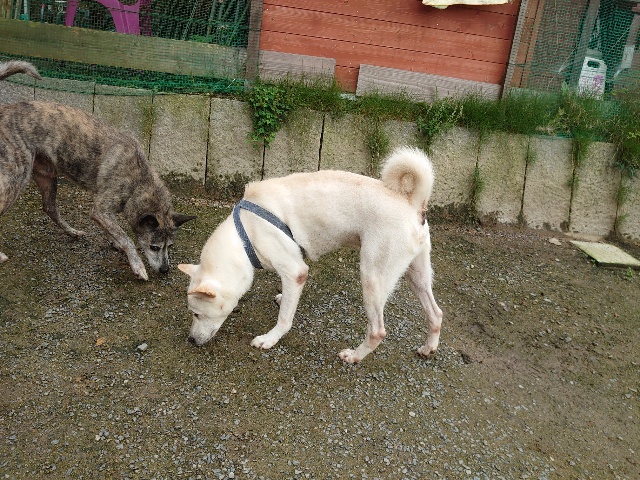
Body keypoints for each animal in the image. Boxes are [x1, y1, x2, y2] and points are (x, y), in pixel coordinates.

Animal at [0, 60, 195, 279]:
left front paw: (115, 243)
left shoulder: (107, 212)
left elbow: (115, 232)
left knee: (49, 208)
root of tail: (4, 109)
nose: (165, 270)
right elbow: (126, 238)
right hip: (15, 179)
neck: (138, 180)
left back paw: (72, 232)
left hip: (47, 177)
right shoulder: (100, 210)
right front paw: (137, 265)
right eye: (154, 247)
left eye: (170, 246)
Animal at [178, 146, 443, 363]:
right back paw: (428, 348)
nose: (190, 340)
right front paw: (282, 297)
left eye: (196, 313)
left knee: (378, 330)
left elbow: (285, 318)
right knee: (436, 314)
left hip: (372, 277)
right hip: (416, 274)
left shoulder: (295, 271)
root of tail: (412, 203)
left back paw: (354, 356)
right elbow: (287, 299)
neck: (245, 234)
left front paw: (270, 339)